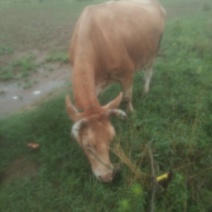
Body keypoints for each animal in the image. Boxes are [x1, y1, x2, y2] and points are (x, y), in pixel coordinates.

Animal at [65, 0, 165, 182]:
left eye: (111, 138)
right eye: (87, 145)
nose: (107, 176)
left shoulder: (127, 72)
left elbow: (126, 97)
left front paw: (131, 112)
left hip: (154, 49)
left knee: (149, 70)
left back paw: (145, 91)